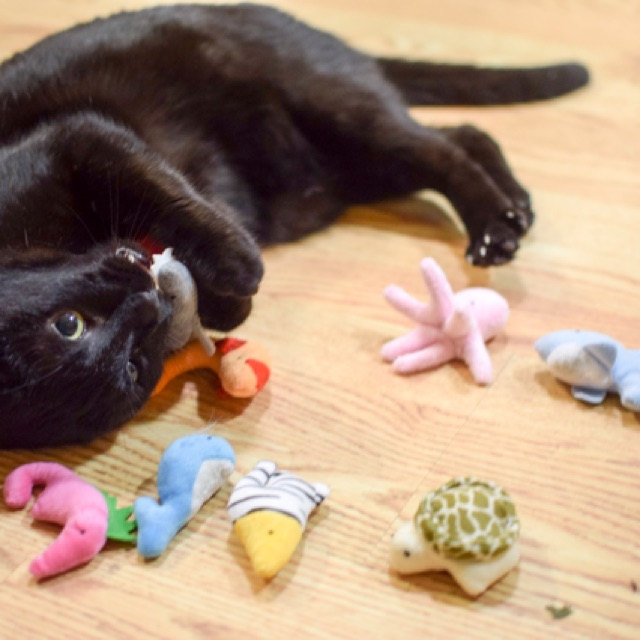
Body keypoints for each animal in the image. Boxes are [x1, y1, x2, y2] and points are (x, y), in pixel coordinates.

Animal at [0, 2, 592, 448]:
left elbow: (171, 195)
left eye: (68, 323)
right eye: (133, 367)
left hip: (339, 110)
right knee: (464, 134)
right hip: (358, 168)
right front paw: (221, 298)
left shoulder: (82, 135)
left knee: (447, 146)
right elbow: (226, 305)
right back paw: (514, 206)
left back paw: (497, 224)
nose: (146, 304)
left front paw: (238, 264)